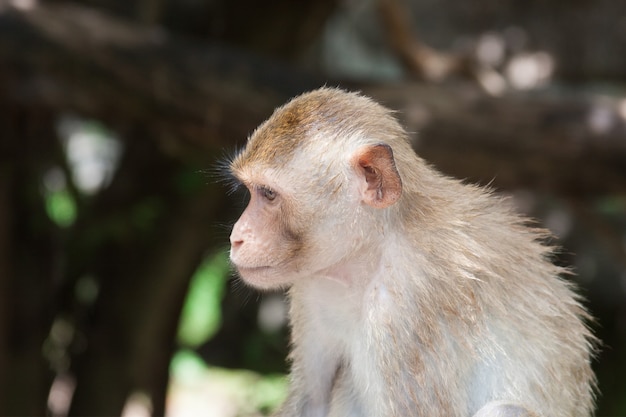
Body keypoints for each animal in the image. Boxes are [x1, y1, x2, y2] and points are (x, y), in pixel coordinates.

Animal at [225, 88, 596, 416]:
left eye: (268, 194)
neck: (370, 253)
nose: (236, 238)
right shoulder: (312, 288)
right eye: (252, 192)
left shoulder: (404, 312)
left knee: (506, 409)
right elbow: (311, 401)